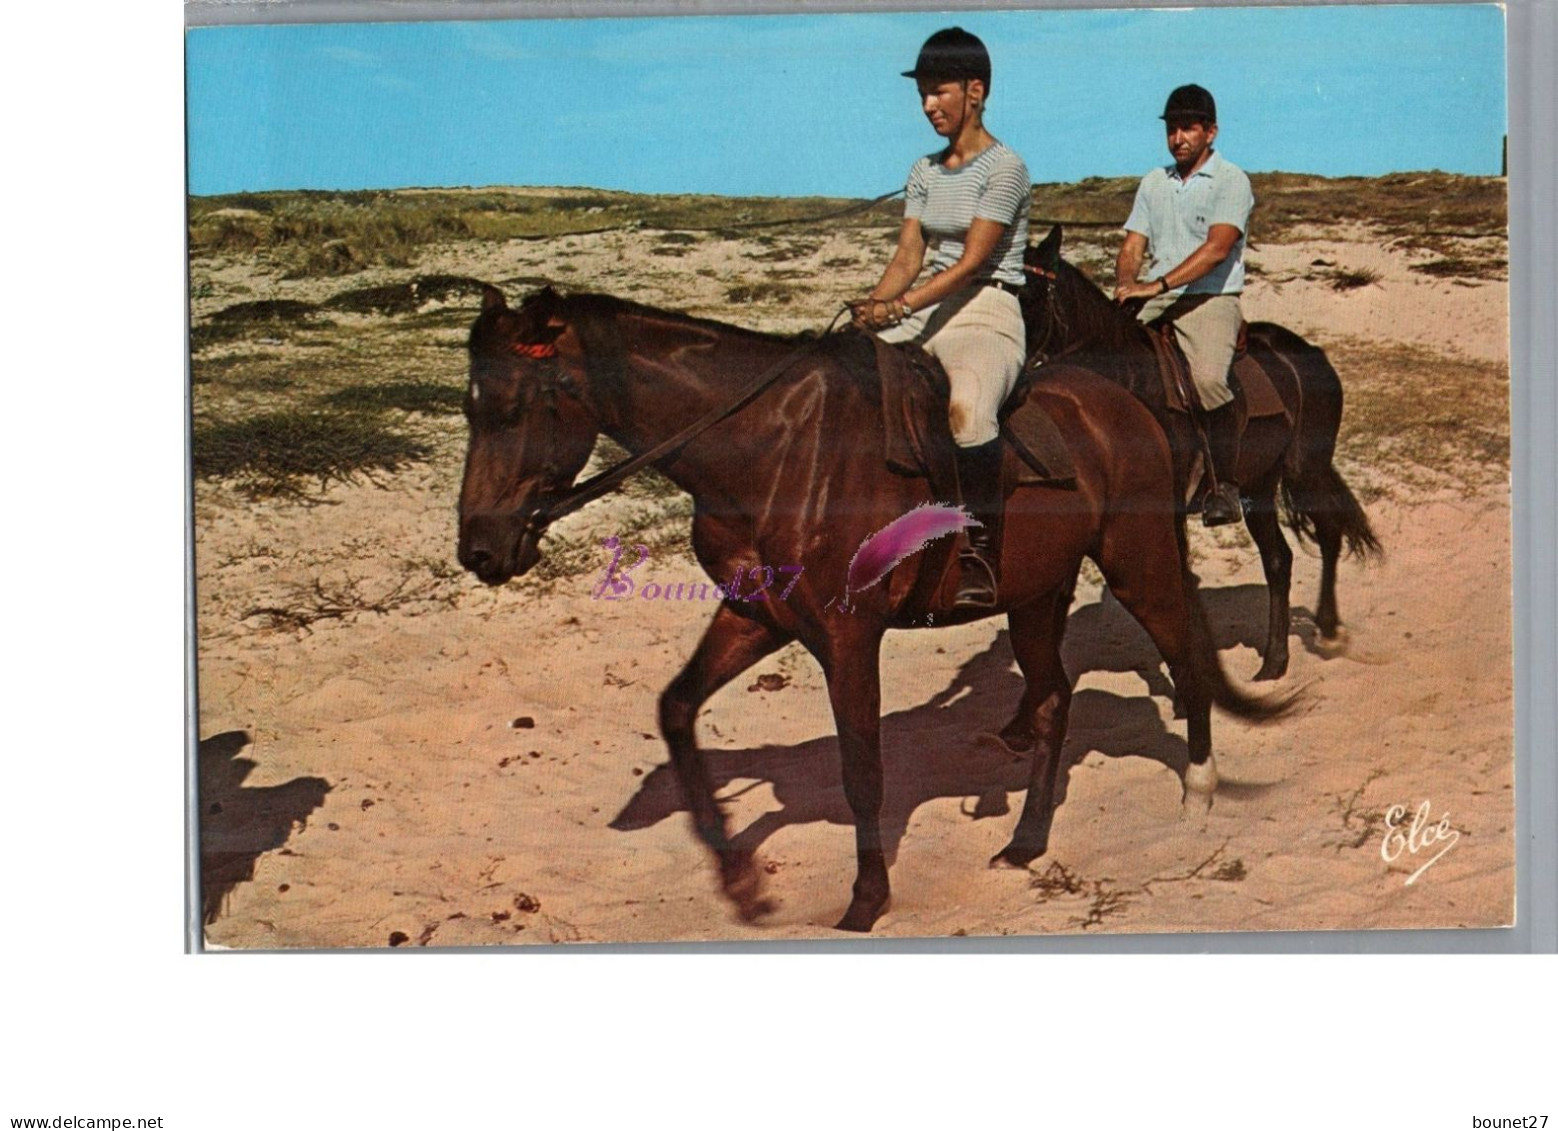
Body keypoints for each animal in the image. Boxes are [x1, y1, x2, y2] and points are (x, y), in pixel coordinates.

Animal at [454, 283, 1283, 928]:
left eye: (519, 406)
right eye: (470, 408)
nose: (479, 550)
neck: (770, 448)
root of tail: (1127, 406)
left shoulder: (848, 635)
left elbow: (862, 769)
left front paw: (865, 901)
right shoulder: (758, 617)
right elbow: (678, 708)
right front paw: (742, 884)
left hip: (1138, 562)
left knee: (1182, 655)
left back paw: (1199, 794)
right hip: (1035, 597)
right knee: (1052, 698)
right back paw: (1026, 841)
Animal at [1028, 225, 1383, 679]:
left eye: (1023, 292)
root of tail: (1312, 353)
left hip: (1307, 470)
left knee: (1330, 533)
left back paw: (1328, 629)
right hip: (1258, 485)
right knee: (1279, 560)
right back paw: (1274, 662)